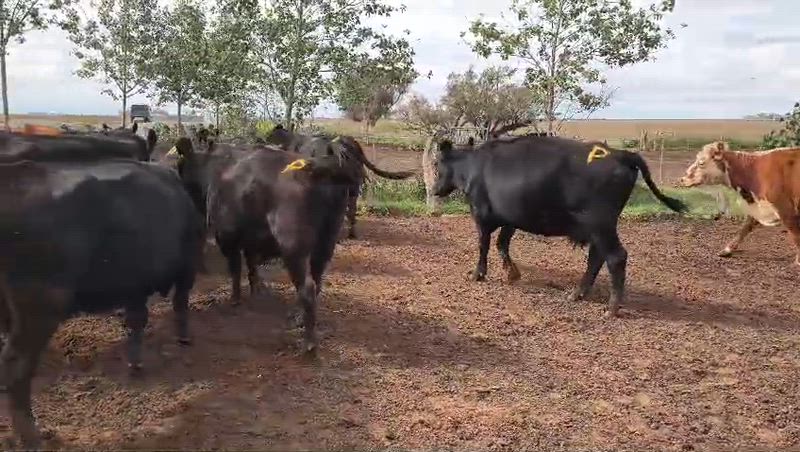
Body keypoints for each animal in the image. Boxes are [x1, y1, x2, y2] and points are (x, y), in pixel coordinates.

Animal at [0, 136, 203, 449]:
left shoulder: (134, 279)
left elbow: (137, 318)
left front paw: (135, 361)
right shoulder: (186, 264)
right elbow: (179, 303)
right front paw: (182, 338)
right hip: (40, 305)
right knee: (16, 366)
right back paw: (32, 436)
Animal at [205, 144, 361, 353]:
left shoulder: (227, 240)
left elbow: (236, 270)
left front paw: (235, 299)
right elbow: (251, 267)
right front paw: (256, 292)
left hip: (293, 250)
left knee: (307, 288)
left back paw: (309, 344)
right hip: (325, 245)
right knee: (316, 281)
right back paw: (297, 317)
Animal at [264, 124, 415, 239]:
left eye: (269, 134)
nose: (264, 140)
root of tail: (343, 142)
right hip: (353, 188)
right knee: (351, 210)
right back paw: (351, 234)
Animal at [434, 136, 687, 317]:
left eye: (436, 164)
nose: (435, 190)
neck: (470, 167)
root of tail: (620, 154)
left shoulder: (481, 214)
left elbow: (483, 245)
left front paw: (477, 274)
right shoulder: (511, 219)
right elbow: (502, 243)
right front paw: (512, 273)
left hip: (600, 225)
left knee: (615, 257)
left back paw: (611, 308)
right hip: (598, 229)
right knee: (597, 258)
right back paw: (577, 294)